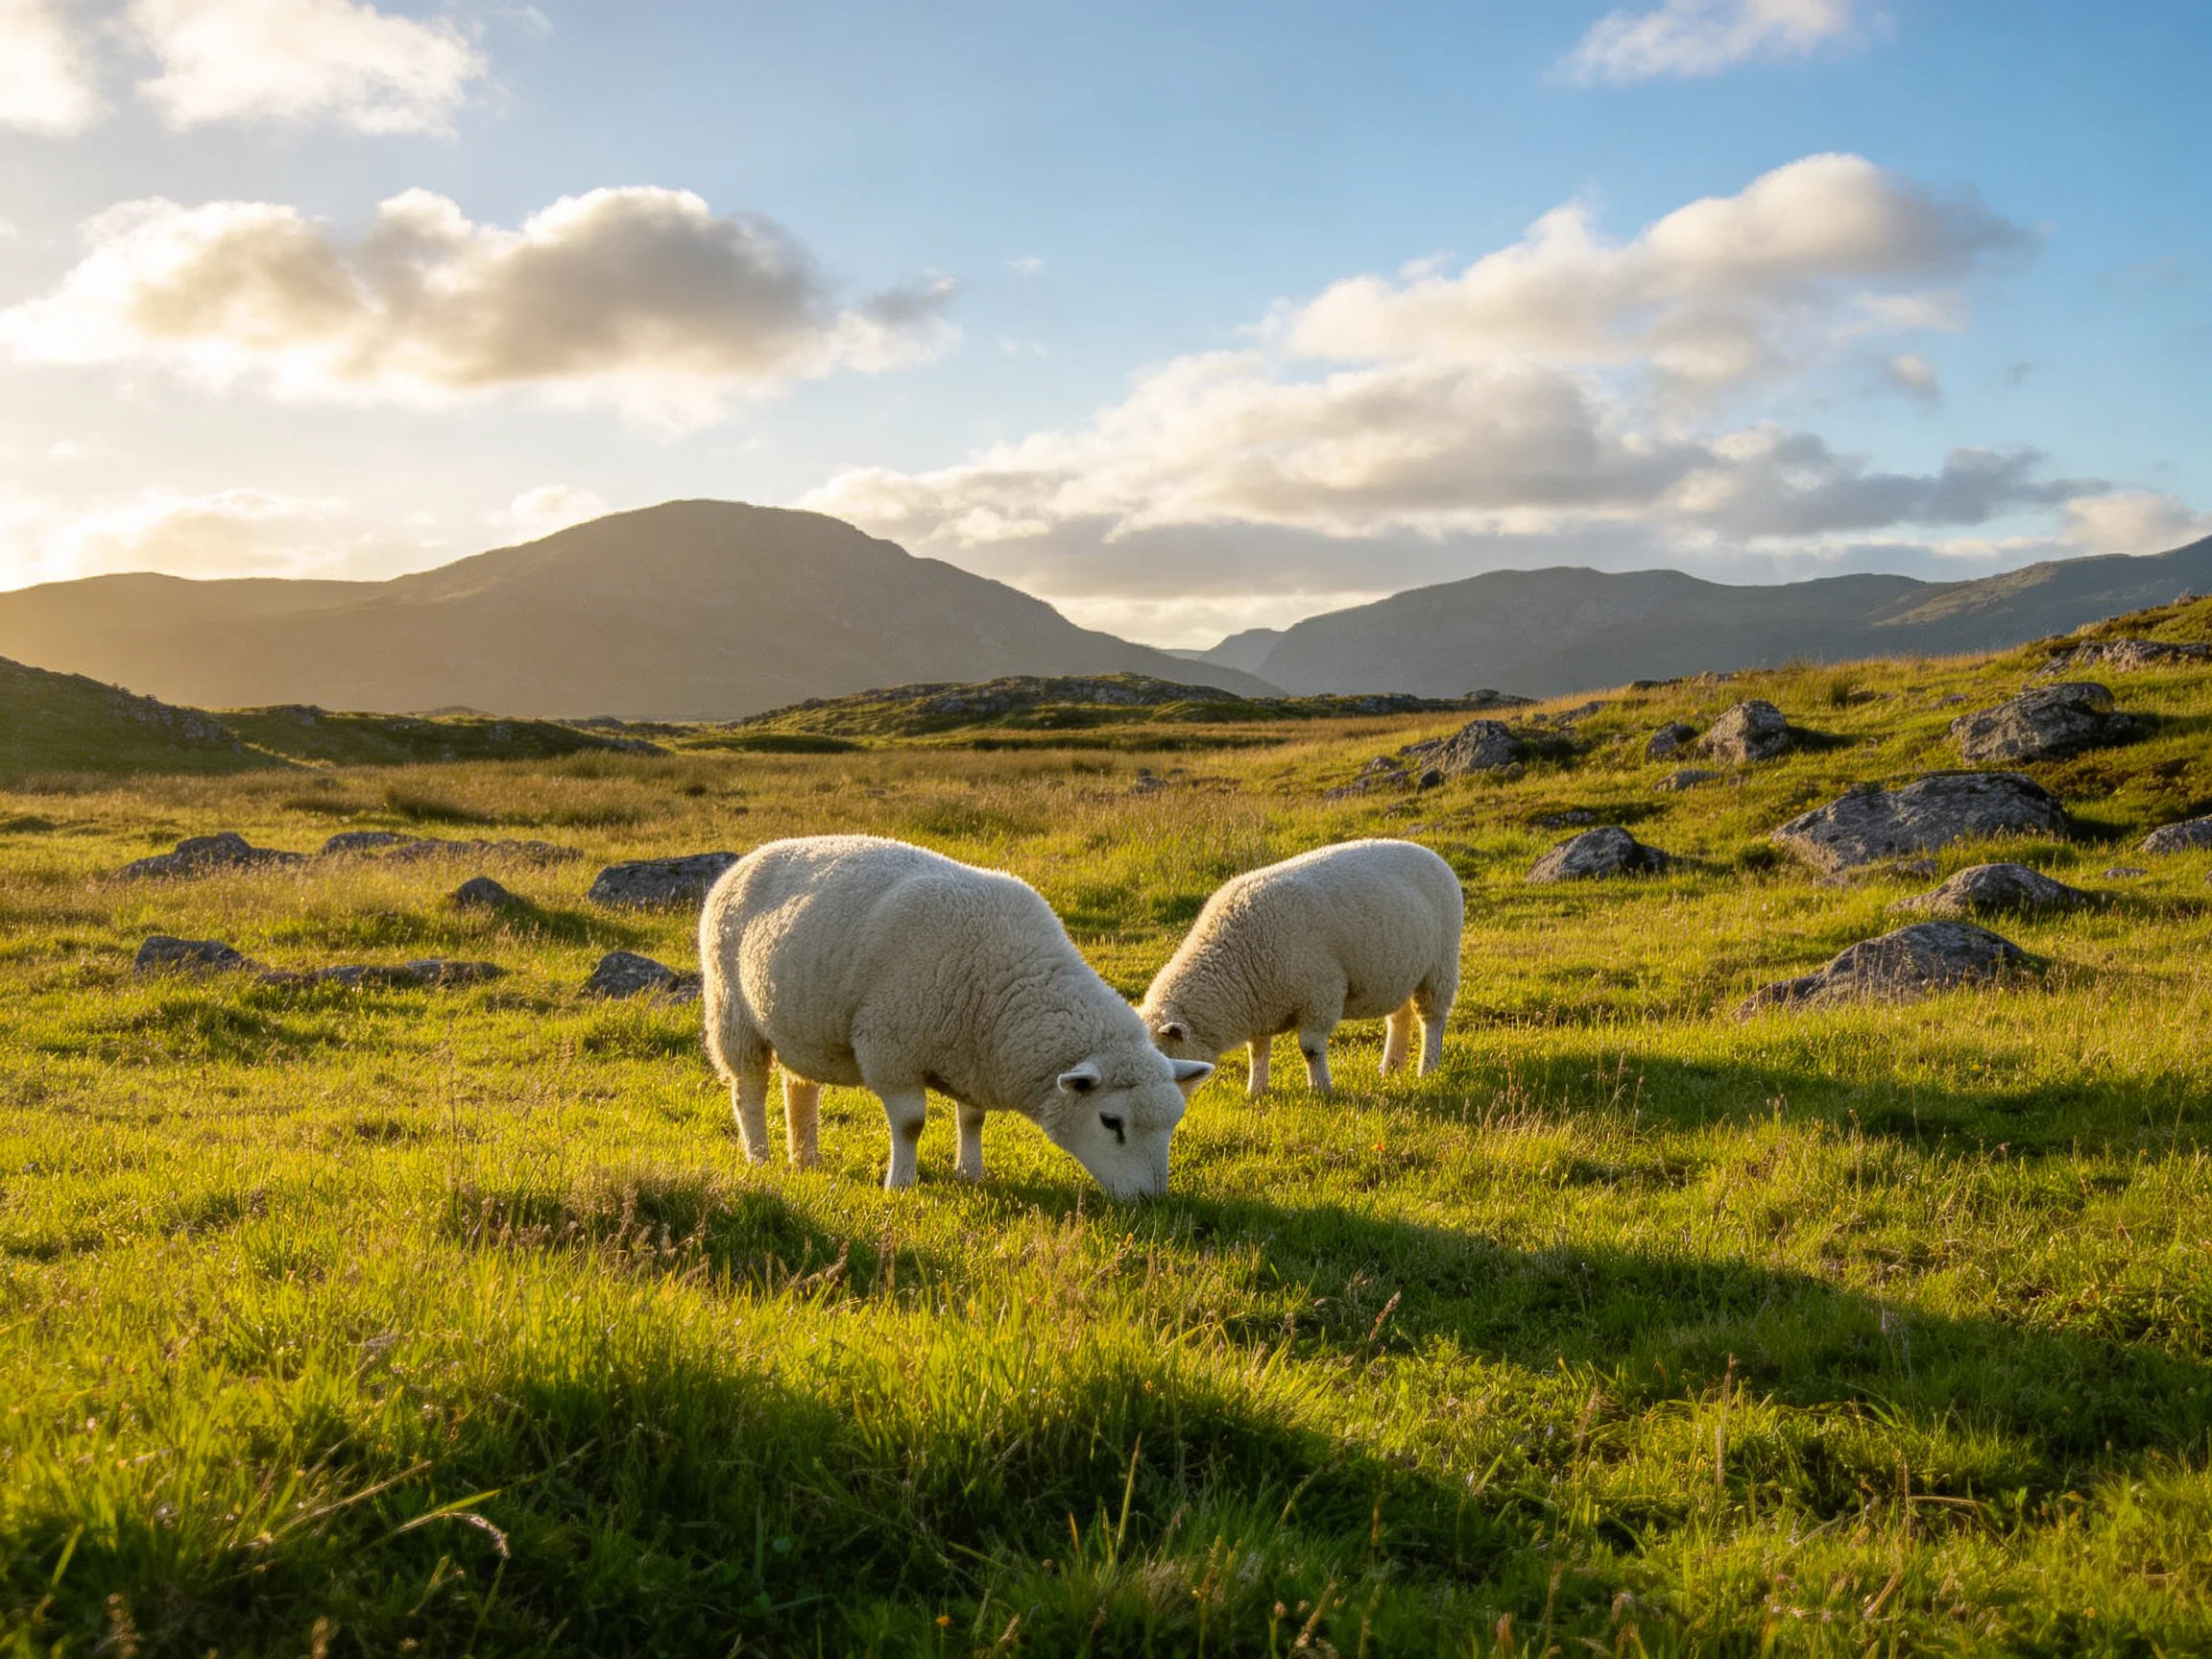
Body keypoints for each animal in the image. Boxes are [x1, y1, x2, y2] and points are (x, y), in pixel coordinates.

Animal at [700, 834, 1213, 1195]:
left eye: (1173, 1122)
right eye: (1111, 1122)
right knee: (748, 1092)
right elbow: (910, 1123)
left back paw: (806, 1160)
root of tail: (748, 857)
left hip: (801, 1026)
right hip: (732, 1012)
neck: (1006, 984)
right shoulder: (890, 1048)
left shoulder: (974, 1054)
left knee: (801, 1087)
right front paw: (901, 1184)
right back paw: (760, 1158)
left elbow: (973, 1119)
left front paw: (970, 1172)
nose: (1151, 1200)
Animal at [1140, 838, 1462, 1095]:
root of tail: (1428, 852)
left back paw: (1427, 1069)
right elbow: (1257, 1051)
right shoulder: (1260, 1005)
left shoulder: (1320, 995)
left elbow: (1310, 1049)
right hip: (1399, 971)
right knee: (1399, 1017)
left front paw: (1321, 1089)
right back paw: (1391, 1067)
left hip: (1440, 965)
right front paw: (1256, 1090)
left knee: (1432, 1018)